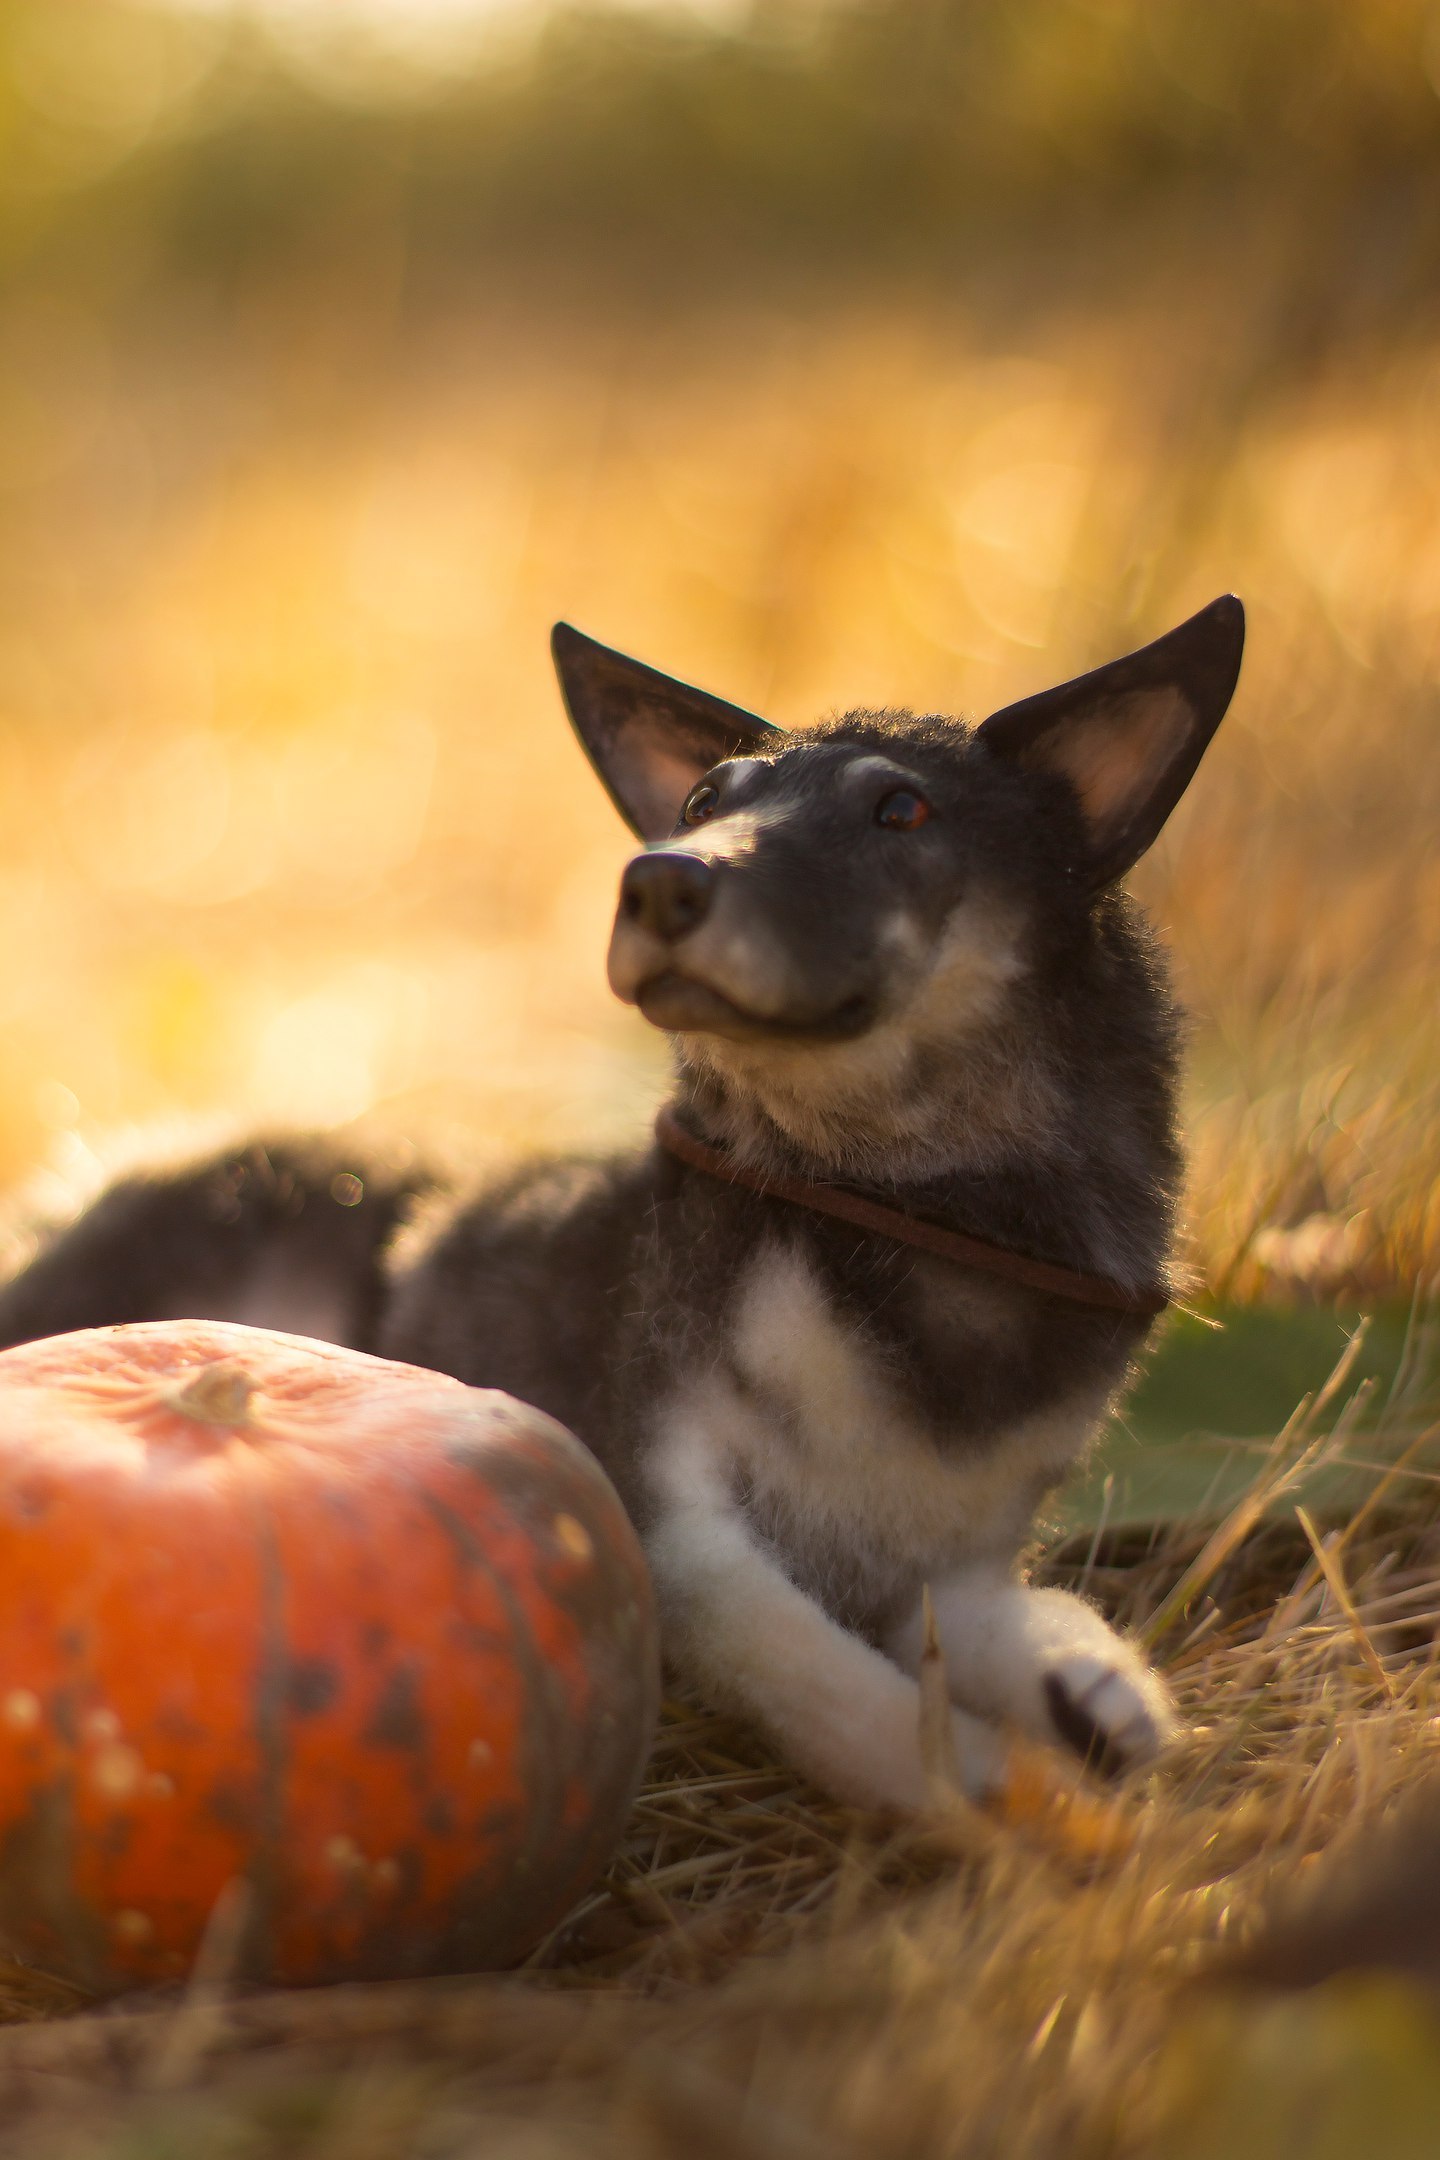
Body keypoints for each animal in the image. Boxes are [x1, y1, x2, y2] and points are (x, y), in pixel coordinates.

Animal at [0, 600, 1243, 1814]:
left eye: (901, 808)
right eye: (699, 803)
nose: (656, 879)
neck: (904, 1212)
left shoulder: (947, 1567)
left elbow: (1021, 1623)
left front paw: (1095, 1692)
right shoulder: (672, 1520)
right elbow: (820, 1677)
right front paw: (969, 1782)